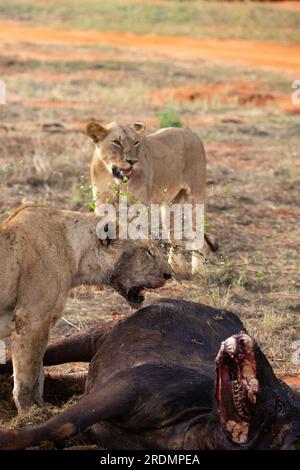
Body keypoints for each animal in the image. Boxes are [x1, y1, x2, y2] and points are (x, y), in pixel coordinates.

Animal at [0, 204, 170, 414]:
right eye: (145, 250)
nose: (169, 274)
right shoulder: (31, 318)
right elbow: (28, 376)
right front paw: (29, 414)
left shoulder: (42, 322)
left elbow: (39, 372)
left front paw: (42, 407)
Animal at [0, 300, 300, 450]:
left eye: (280, 404)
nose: (247, 339)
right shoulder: (127, 388)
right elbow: (60, 424)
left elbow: (61, 430)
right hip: (94, 335)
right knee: (40, 355)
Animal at [86, 120, 216, 280]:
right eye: (117, 142)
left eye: (136, 142)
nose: (132, 161)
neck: (114, 176)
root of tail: (193, 134)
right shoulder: (102, 203)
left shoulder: (139, 205)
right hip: (170, 205)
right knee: (174, 234)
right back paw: (175, 269)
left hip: (195, 196)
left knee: (197, 232)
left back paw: (198, 272)